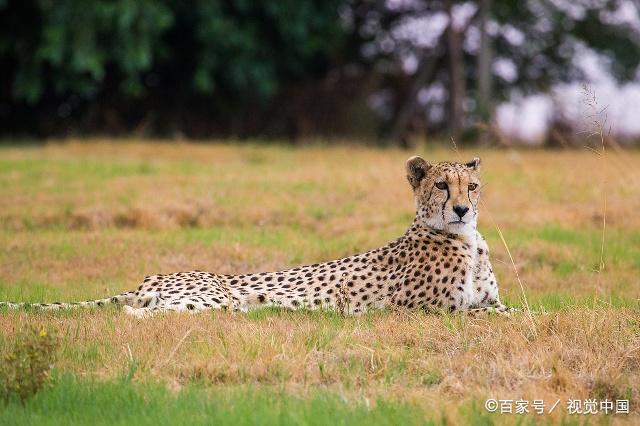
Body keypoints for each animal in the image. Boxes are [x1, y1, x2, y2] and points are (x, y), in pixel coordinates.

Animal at [0, 156, 510, 316]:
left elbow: (513, 311)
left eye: (471, 186)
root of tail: (149, 278)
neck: (467, 240)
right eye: (441, 185)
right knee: (134, 314)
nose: (462, 208)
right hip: (205, 299)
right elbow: (492, 317)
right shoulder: (426, 311)